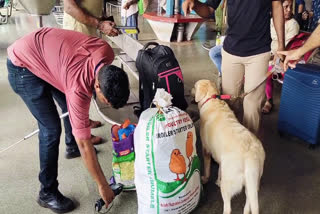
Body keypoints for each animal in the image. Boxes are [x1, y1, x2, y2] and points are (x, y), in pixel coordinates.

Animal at [195, 80, 264, 214]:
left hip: (228, 186)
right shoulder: (221, 158)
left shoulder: (206, 150)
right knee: (249, 202)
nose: (191, 91)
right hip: (252, 183)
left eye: (194, 86)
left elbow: (207, 168)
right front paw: (217, 180)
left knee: (228, 208)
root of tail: (250, 156)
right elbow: (220, 169)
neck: (212, 99)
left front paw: (205, 179)